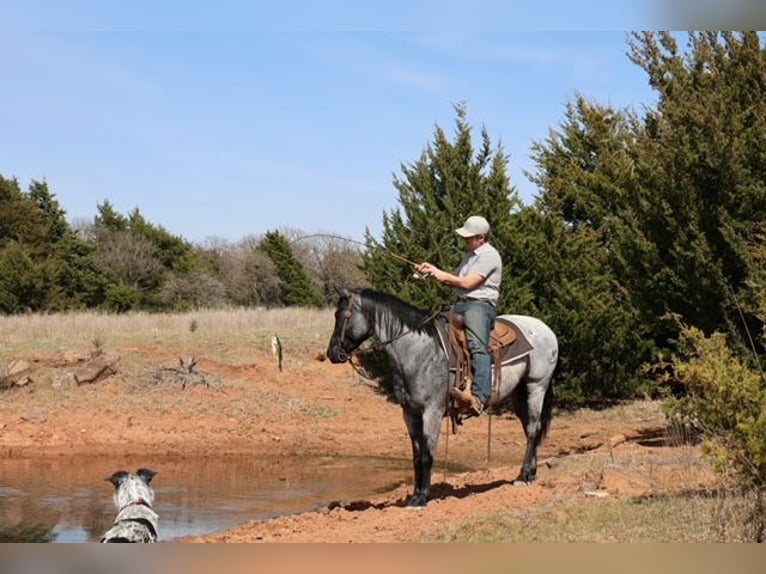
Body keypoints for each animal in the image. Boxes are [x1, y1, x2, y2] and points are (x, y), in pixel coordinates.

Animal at [326, 288, 559, 507]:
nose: (332, 354)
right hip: (519, 393)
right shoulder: (410, 413)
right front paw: (414, 495)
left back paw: (522, 477)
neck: (419, 351)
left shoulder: (433, 412)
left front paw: (422, 498)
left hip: (536, 386)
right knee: (531, 430)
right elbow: (416, 456)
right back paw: (531, 473)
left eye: (342, 315)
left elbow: (427, 455)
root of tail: (545, 328)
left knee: (533, 429)